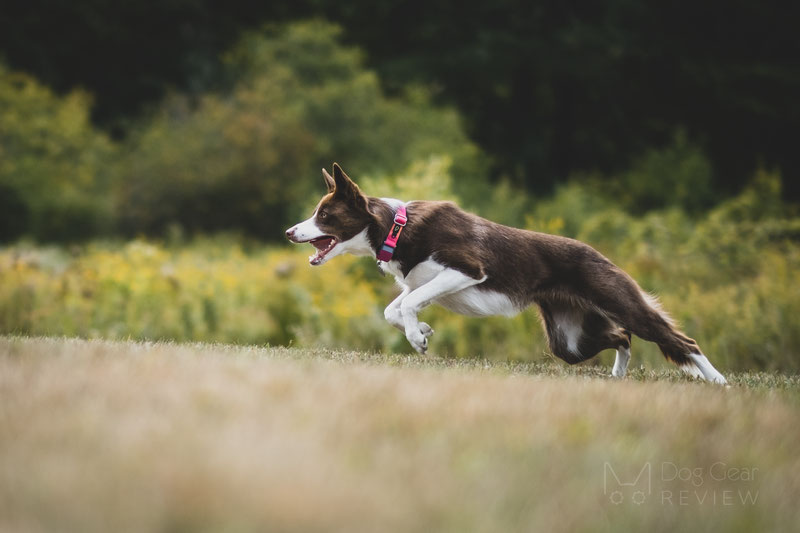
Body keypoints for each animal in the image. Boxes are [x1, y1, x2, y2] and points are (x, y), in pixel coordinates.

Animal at [284, 162, 728, 382]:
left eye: (324, 215)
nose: (289, 232)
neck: (396, 227)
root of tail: (600, 254)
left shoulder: (467, 269)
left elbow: (407, 303)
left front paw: (418, 338)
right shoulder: (426, 281)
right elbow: (395, 308)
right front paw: (422, 330)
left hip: (618, 299)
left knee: (679, 340)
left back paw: (719, 383)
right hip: (568, 340)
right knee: (621, 336)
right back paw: (619, 375)